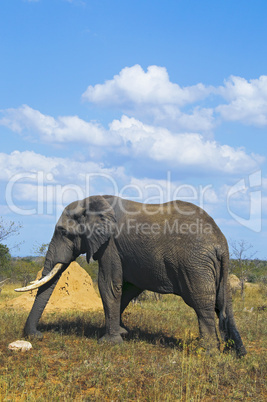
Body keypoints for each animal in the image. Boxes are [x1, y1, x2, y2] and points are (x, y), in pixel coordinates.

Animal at [16, 196, 247, 356]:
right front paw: (122, 332)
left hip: (195, 265)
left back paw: (208, 353)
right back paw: (238, 352)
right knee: (224, 303)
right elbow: (127, 289)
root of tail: (221, 243)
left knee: (203, 305)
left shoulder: (110, 245)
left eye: (64, 232)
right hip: (215, 268)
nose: (37, 335)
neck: (92, 202)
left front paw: (109, 342)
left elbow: (109, 285)